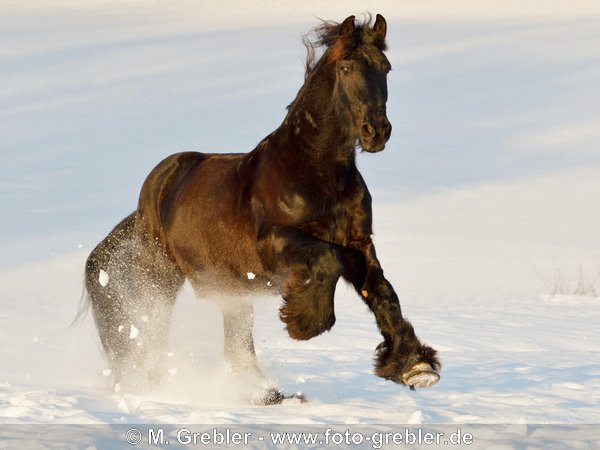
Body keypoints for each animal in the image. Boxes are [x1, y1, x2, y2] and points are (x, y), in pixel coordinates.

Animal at [84, 14, 438, 402]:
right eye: (346, 68)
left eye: (385, 68)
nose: (377, 131)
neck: (316, 172)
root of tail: (154, 188)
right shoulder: (274, 244)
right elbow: (326, 260)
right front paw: (304, 322)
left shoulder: (358, 246)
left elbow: (384, 294)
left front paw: (415, 366)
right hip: (162, 278)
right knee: (155, 333)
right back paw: (161, 388)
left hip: (231, 291)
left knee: (236, 349)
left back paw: (261, 394)